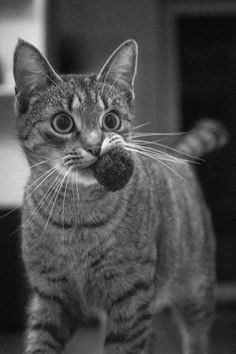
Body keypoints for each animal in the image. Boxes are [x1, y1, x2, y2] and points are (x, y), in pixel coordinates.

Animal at [12, 38, 223, 354]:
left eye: (110, 120)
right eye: (62, 123)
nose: (95, 145)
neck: (77, 213)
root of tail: (175, 155)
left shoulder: (130, 298)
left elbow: (125, 344)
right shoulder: (50, 295)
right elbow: (40, 342)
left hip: (196, 292)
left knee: (195, 337)